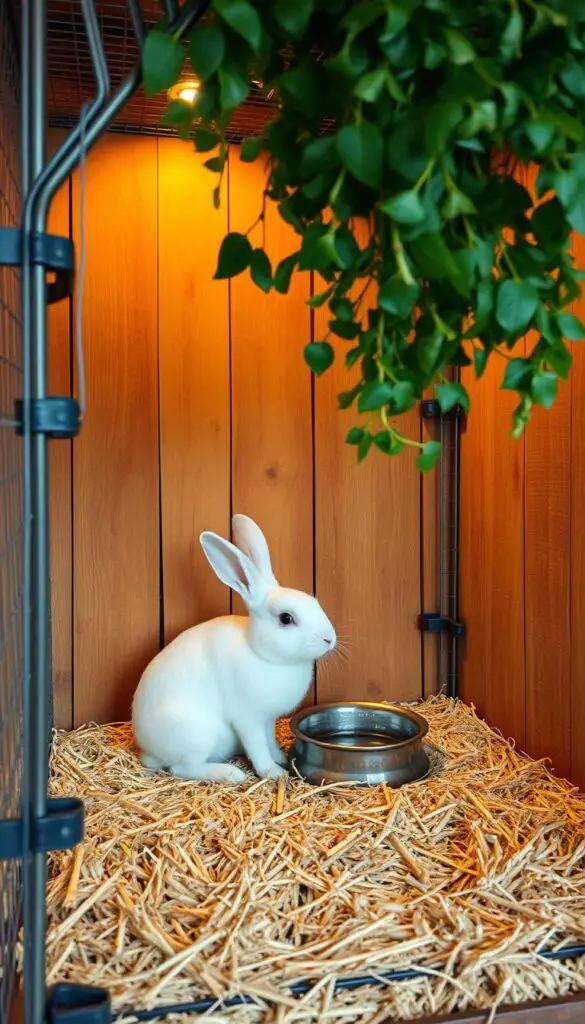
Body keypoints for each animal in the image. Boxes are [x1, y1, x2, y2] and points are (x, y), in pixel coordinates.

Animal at [132, 514, 336, 783]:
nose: (329, 639)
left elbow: (269, 741)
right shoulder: (248, 718)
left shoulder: (268, 719)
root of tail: (146, 748)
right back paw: (231, 774)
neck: (261, 653)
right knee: (183, 768)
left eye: (314, 601)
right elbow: (258, 747)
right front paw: (273, 772)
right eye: (286, 618)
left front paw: (280, 756)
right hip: (198, 735)